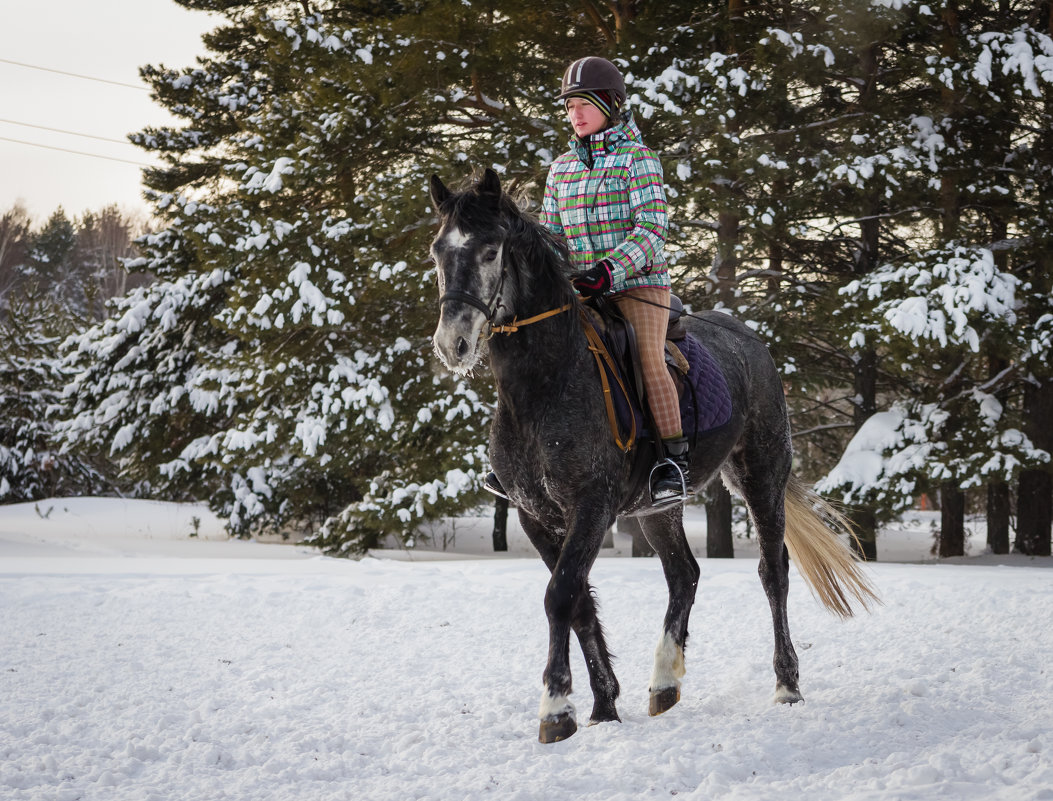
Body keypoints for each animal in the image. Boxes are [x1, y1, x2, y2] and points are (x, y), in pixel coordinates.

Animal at [423, 167, 876, 745]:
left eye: (489, 250)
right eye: (438, 250)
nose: (452, 343)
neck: (544, 385)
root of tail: (750, 339)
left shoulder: (590, 507)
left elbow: (559, 595)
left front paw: (556, 710)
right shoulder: (535, 515)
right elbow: (579, 603)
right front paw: (603, 705)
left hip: (760, 477)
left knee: (773, 572)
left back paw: (787, 685)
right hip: (660, 507)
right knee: (684, 574)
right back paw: (664, 682)